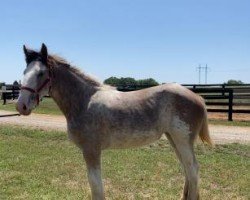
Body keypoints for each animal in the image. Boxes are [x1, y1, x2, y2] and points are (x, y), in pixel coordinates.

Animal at [16, 44, 211, 200]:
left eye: (41, 73)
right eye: (24, 72)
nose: (21, 106)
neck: (84, 101)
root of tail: (198, 98)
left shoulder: (91, 150)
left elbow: (96, 186)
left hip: (182, 140)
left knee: (193, 169)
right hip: (174, 139)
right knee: (187, 169)